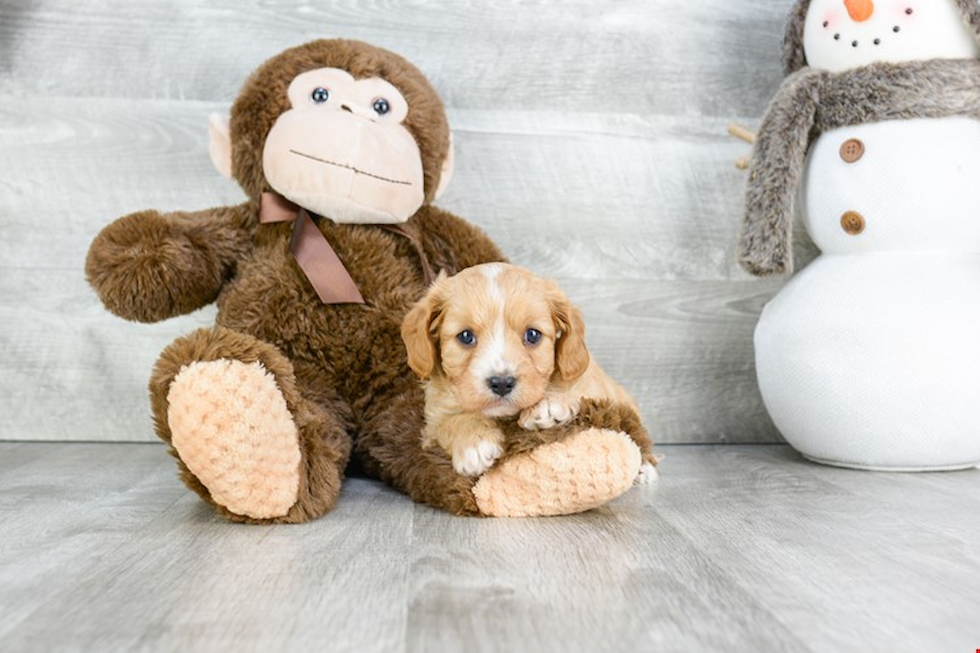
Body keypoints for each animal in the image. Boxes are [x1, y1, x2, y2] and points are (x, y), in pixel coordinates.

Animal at [398, 262, 660, 482]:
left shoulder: (594, 389)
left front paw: (548, 404)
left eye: (533, 335)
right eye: (465, 336)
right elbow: (450, 422)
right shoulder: (432, 424)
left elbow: (577, 392)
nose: (501, 383)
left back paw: (645, 468)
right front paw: (474, 444)